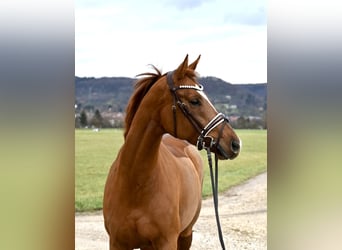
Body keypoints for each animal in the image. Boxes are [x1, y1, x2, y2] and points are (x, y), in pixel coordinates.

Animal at [103, 55, 239, 250]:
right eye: (194, 100)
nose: (235, 143)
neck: (135, 184)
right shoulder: (117, 243)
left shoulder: (167, 242)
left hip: (186, 234)